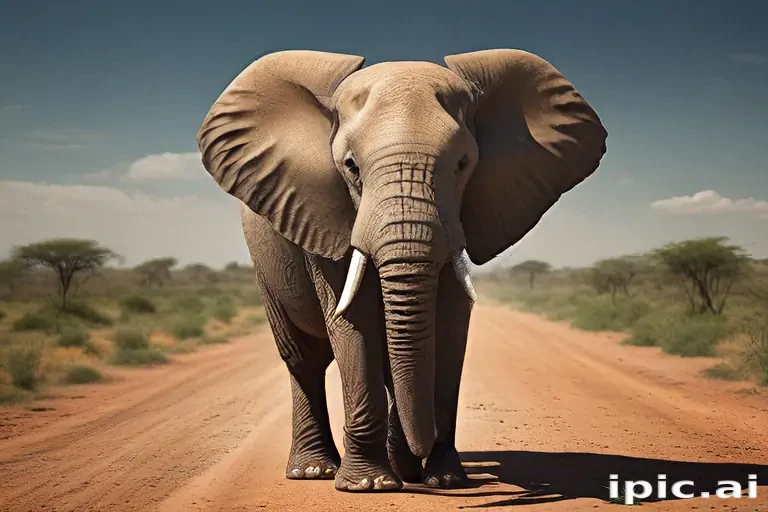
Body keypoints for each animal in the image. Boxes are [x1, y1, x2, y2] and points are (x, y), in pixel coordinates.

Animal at [196, 48, 607, 492]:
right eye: (351, 166)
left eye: (463, 164)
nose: (420, 454)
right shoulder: (326, 212)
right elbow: (354, 322)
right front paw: (368, 485)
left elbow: (448, 325)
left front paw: (445, 480)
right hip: (264, 265)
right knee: (304, 359)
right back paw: (314, 472)